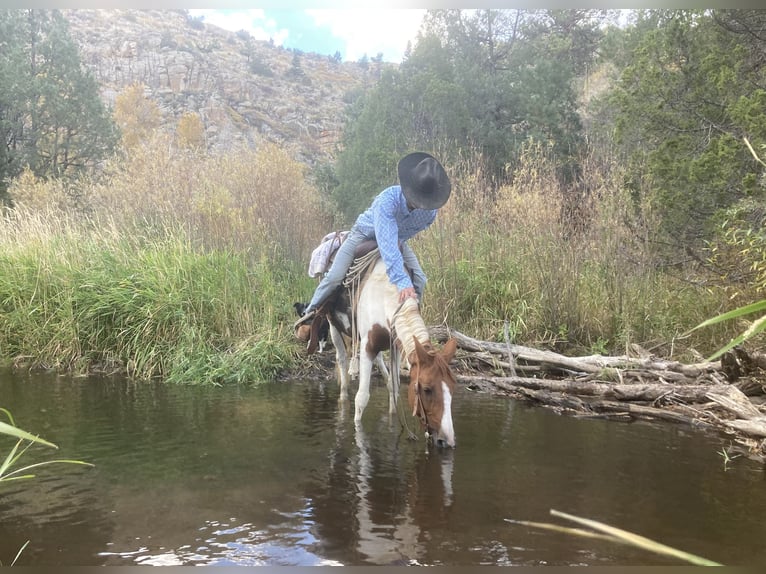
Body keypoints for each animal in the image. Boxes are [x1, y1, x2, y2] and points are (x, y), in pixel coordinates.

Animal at [326, 253, 462, 450]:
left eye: (452, 387)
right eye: (427, 389)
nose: (447, 441)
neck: (383, 296)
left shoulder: (396, 346)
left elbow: (395, 387)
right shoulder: (366, 347)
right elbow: (361, 398)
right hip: (333, 326)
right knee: (342, 360)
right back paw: (343, 396)